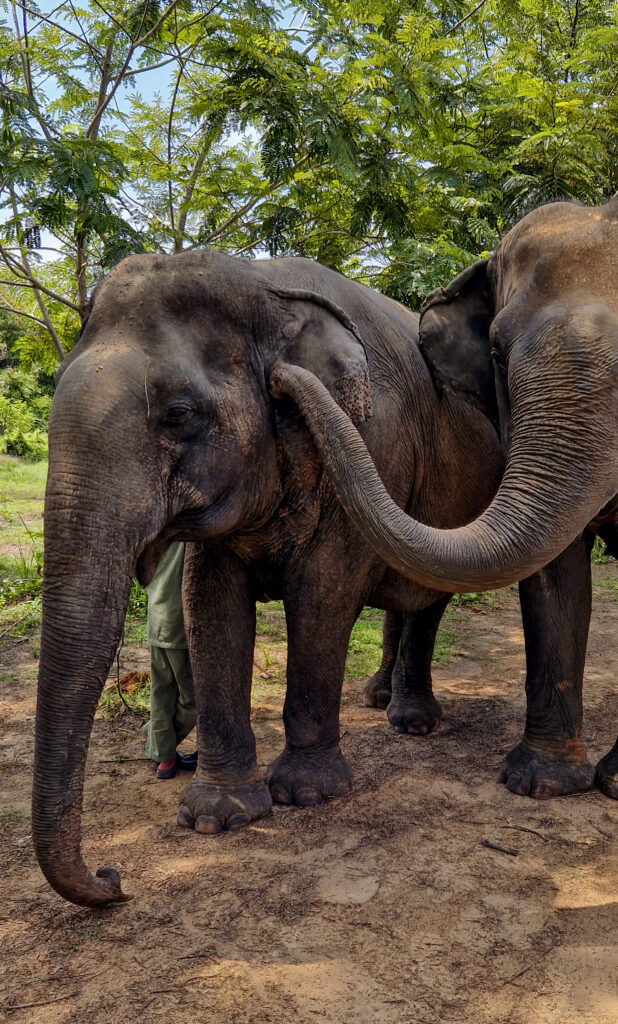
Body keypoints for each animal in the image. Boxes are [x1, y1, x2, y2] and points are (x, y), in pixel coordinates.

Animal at [32, 241, 597, 913]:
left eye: (179, 414)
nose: (114, 880)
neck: (261, 286)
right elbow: (209, 604)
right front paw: (215, 816)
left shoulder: (376, 440)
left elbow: (322, 594)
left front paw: (306, 794)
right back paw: (386, 704)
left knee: (427, 596)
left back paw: (411, 722)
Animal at [270, 197, 618, 806]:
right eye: (498, 355)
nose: (279, 375)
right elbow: (554, 575)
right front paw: (539, 783)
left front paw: (600, 784)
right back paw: (387, 704)